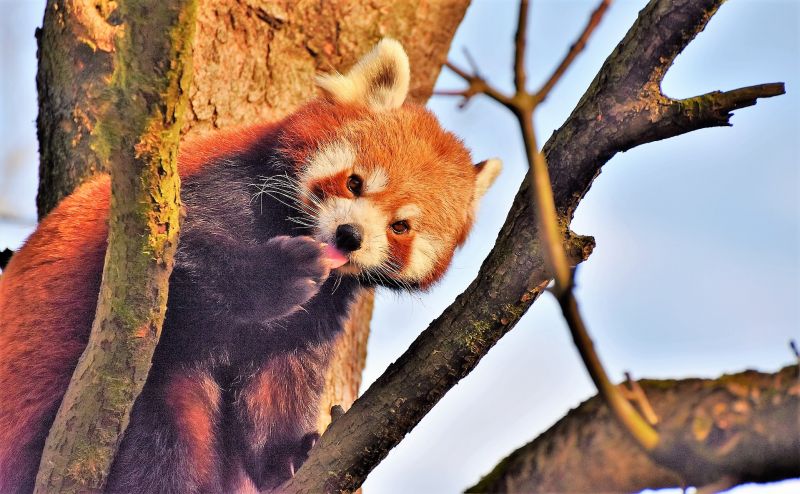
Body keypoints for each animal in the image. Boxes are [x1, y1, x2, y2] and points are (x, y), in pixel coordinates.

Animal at [0, 40, 500, 492]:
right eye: (355, 183)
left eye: (400, 227)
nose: (349, 236)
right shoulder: (201, 197)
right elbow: (193, 262)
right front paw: (282, 273)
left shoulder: (320, 313)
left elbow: (280, 375)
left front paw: (290, 456)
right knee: (168, 421)